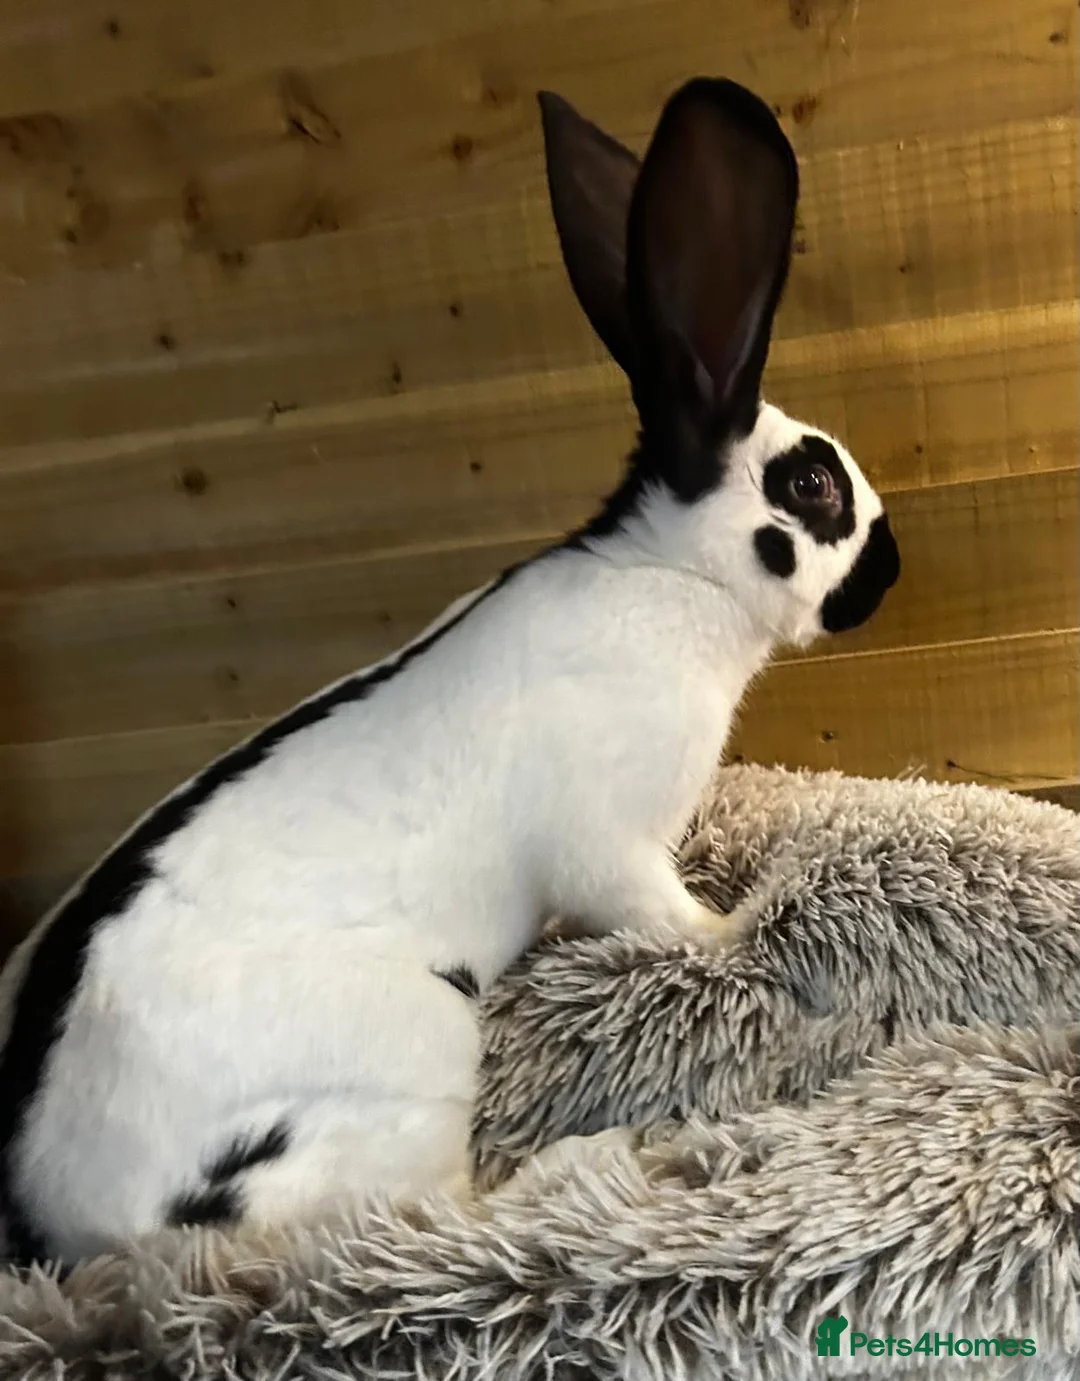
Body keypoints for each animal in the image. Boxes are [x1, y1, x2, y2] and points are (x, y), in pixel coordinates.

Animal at [0, 76, 898, 1266]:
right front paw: (738, 922)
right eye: (814, 486)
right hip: (417, 1047)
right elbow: (664, 915)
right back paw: (583, 1163)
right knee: (421, 1215)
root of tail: (56, 1221)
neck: (669, 574)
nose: (891, 567)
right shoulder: (607, 845)